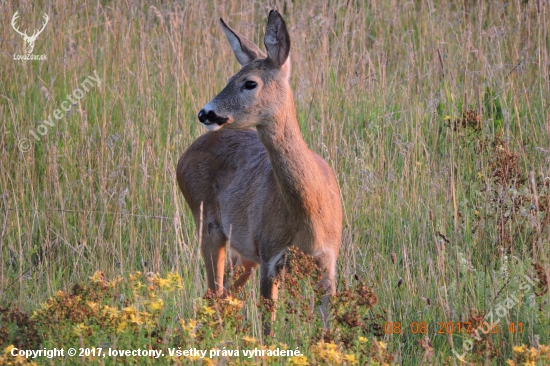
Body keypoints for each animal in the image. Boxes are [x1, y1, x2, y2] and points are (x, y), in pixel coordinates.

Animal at [177, 9, 342, 334]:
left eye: (249, 83)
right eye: (230, 78)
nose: (205, 113)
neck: (309, 213)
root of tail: (184, 155)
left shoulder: (328, 261)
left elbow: (325, 331)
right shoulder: (270, 254)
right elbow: (268, 329)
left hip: (243, 252)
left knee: (224, 294)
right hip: (207, 225)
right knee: (213, 293)